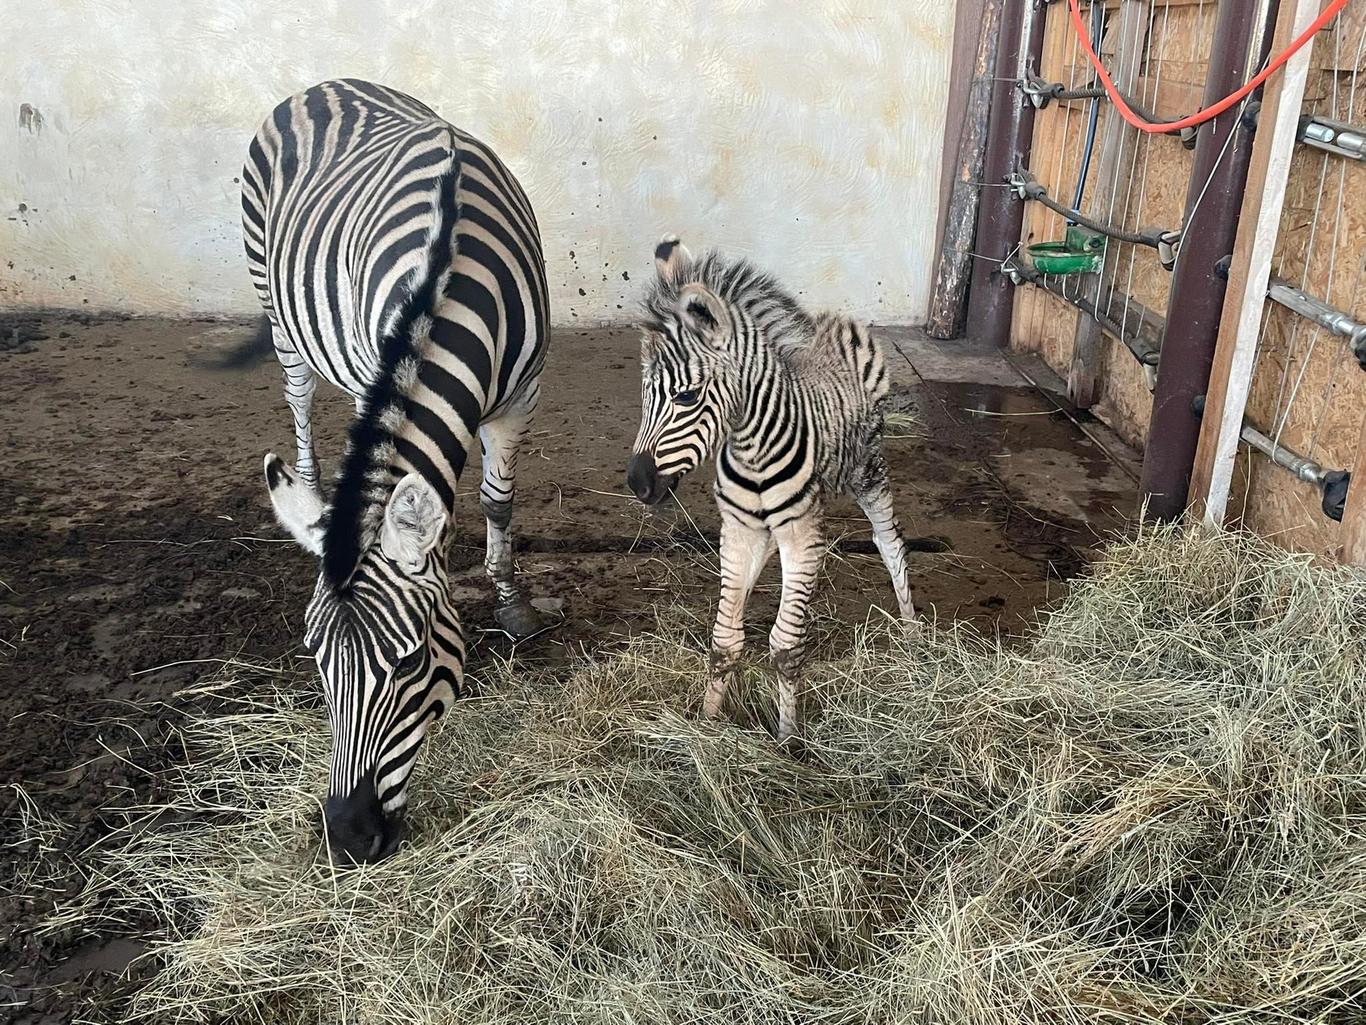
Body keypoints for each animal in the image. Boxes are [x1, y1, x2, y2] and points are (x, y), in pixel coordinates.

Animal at [243, 82, 551, 869]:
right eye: (315, 663)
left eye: (410, 665)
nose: (348, 840)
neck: (446, 276)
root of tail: (328, 84)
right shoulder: (369, 372)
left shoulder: (520, 398)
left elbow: (498, 499)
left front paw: (510, 602)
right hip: (280, 310)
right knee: (299, 395)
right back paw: (311, 487)